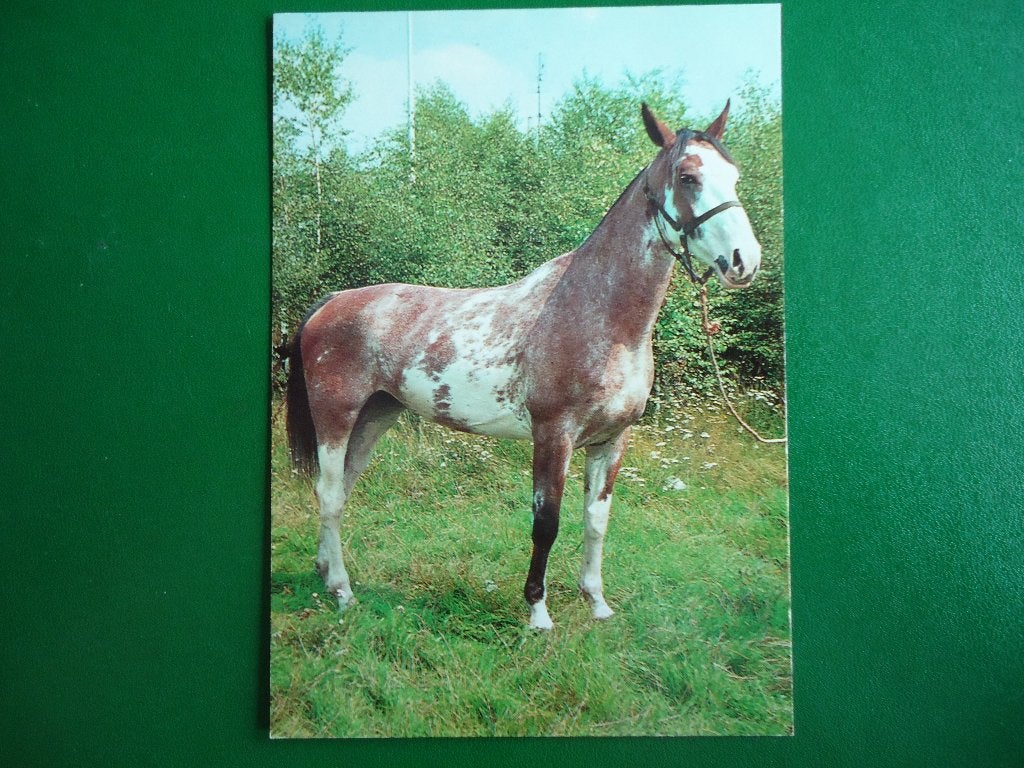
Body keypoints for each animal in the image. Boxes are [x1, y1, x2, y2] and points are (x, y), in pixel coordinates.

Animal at [285, 102, 762, 629]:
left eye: (734, 176)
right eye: (688, 176)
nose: (745, 260)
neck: (598, 315)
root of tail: (329, 303)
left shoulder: (612, 440)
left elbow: (596, 521)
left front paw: (596, 602)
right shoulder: (553, 435)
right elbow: (546, 523)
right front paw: (538, 611)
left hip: (375, 417)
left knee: (340, 491)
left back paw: (326, 573)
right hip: (336, 417)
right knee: (329, 493)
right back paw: (343, 591)